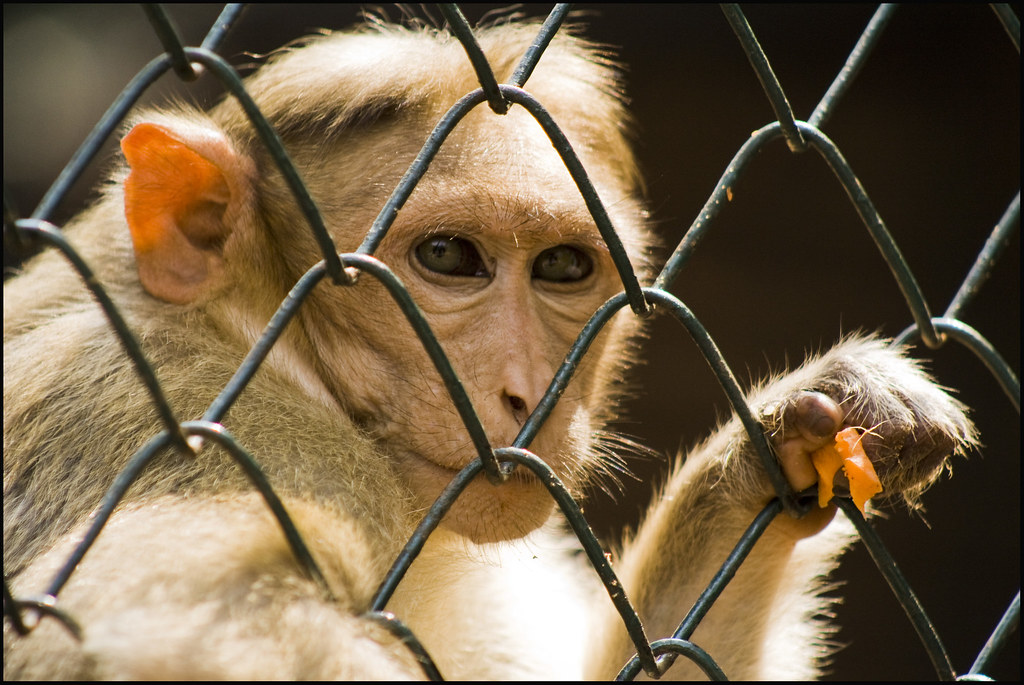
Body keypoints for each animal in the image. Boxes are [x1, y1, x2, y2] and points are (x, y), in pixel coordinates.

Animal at [2, 15, 974, 679]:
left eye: (563, 267)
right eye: (447, 257)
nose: (525, 391)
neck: (256, 342)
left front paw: (774, 448)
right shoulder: (232, 434)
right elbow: (136, 628)